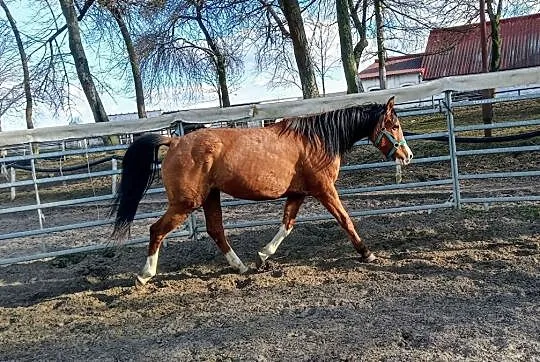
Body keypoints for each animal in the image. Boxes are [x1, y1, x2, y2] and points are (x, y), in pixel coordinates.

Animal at [109, 96, 414, 286]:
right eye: (395, 125)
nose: (408, 156)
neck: (316, 140)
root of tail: (173, 141)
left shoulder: (298, 193)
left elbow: (287, 224)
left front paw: (263, 255)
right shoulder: (324, 189)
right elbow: (345, 220)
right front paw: (367, 253)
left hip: (210, 197)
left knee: (216, 230)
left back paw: (241, 267)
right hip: (186, 203)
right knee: (156, 230)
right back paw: (144, 275)